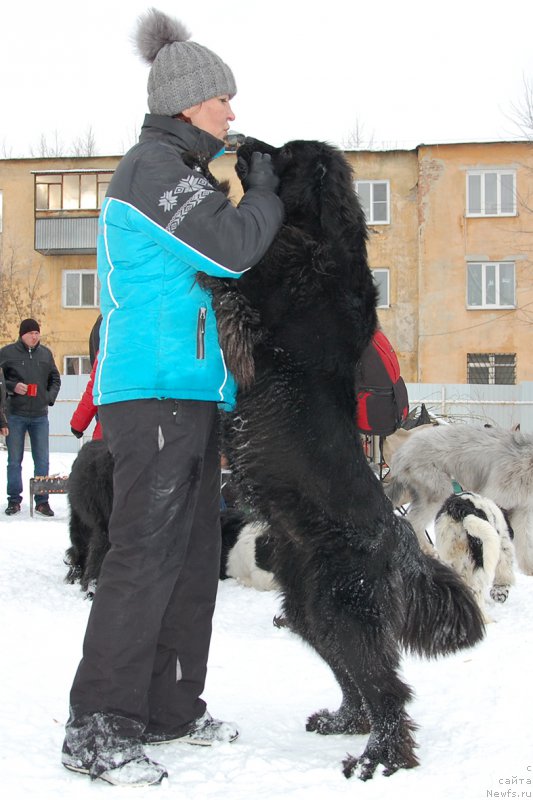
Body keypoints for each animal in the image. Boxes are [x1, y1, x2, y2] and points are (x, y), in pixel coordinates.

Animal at [384, 424, 532, 576]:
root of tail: (401, 450)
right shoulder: (492, 498)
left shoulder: (522, 510)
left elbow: (524, 541)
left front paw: (528, 569)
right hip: (438, 488)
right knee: (414, 521)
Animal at [432, 488, 516, 624]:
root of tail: (460, 508)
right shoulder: (504, 547)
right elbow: (504, 575)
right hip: (480, 561)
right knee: (477, 592)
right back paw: (486, 619)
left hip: (449, 555)